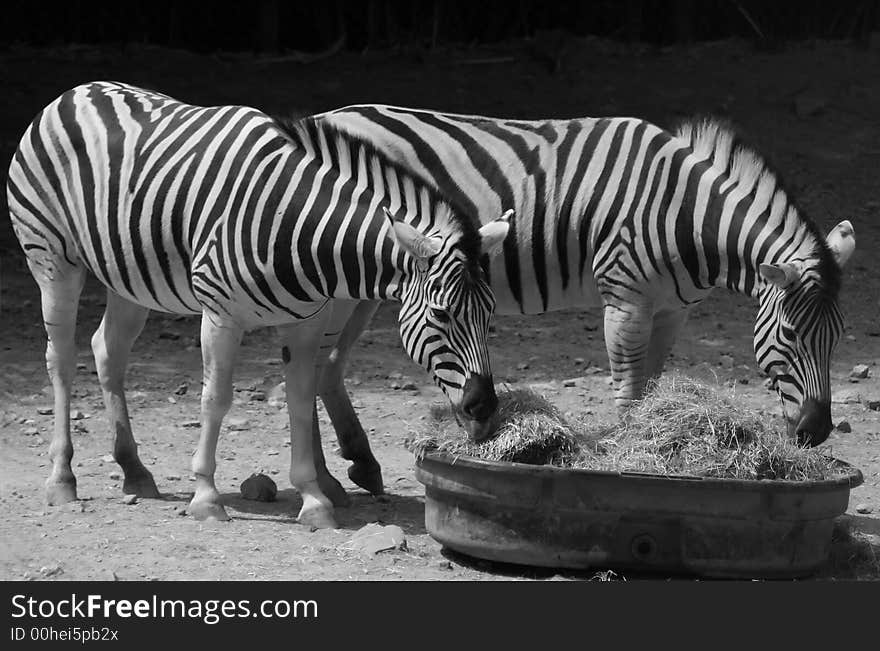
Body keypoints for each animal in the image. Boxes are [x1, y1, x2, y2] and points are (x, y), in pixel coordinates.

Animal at [5, 83, 508, 528]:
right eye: (441, 314)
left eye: (489, 315)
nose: (485, 410)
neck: (299, 226)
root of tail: (74, 92)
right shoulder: (220, 317)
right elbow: (216, 399)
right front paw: (206, 497)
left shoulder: (305, 325)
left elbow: (300, 400)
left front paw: (314, 499)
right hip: (51, 258)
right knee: (61, 358)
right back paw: (62, 478)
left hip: (128, 277)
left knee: (107, 350)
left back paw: (134, 470)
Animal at [306, 105, 856, 494]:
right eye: (790, 335)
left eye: (838, 338)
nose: (817, 432)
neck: (687, 214)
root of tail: (323, 118)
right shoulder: (625, 299)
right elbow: (629, 392)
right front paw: (630, 459)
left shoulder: (671, 310)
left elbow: (650, 386)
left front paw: (652, 444)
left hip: (370, 284)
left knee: (327, 362)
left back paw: (359, 463)